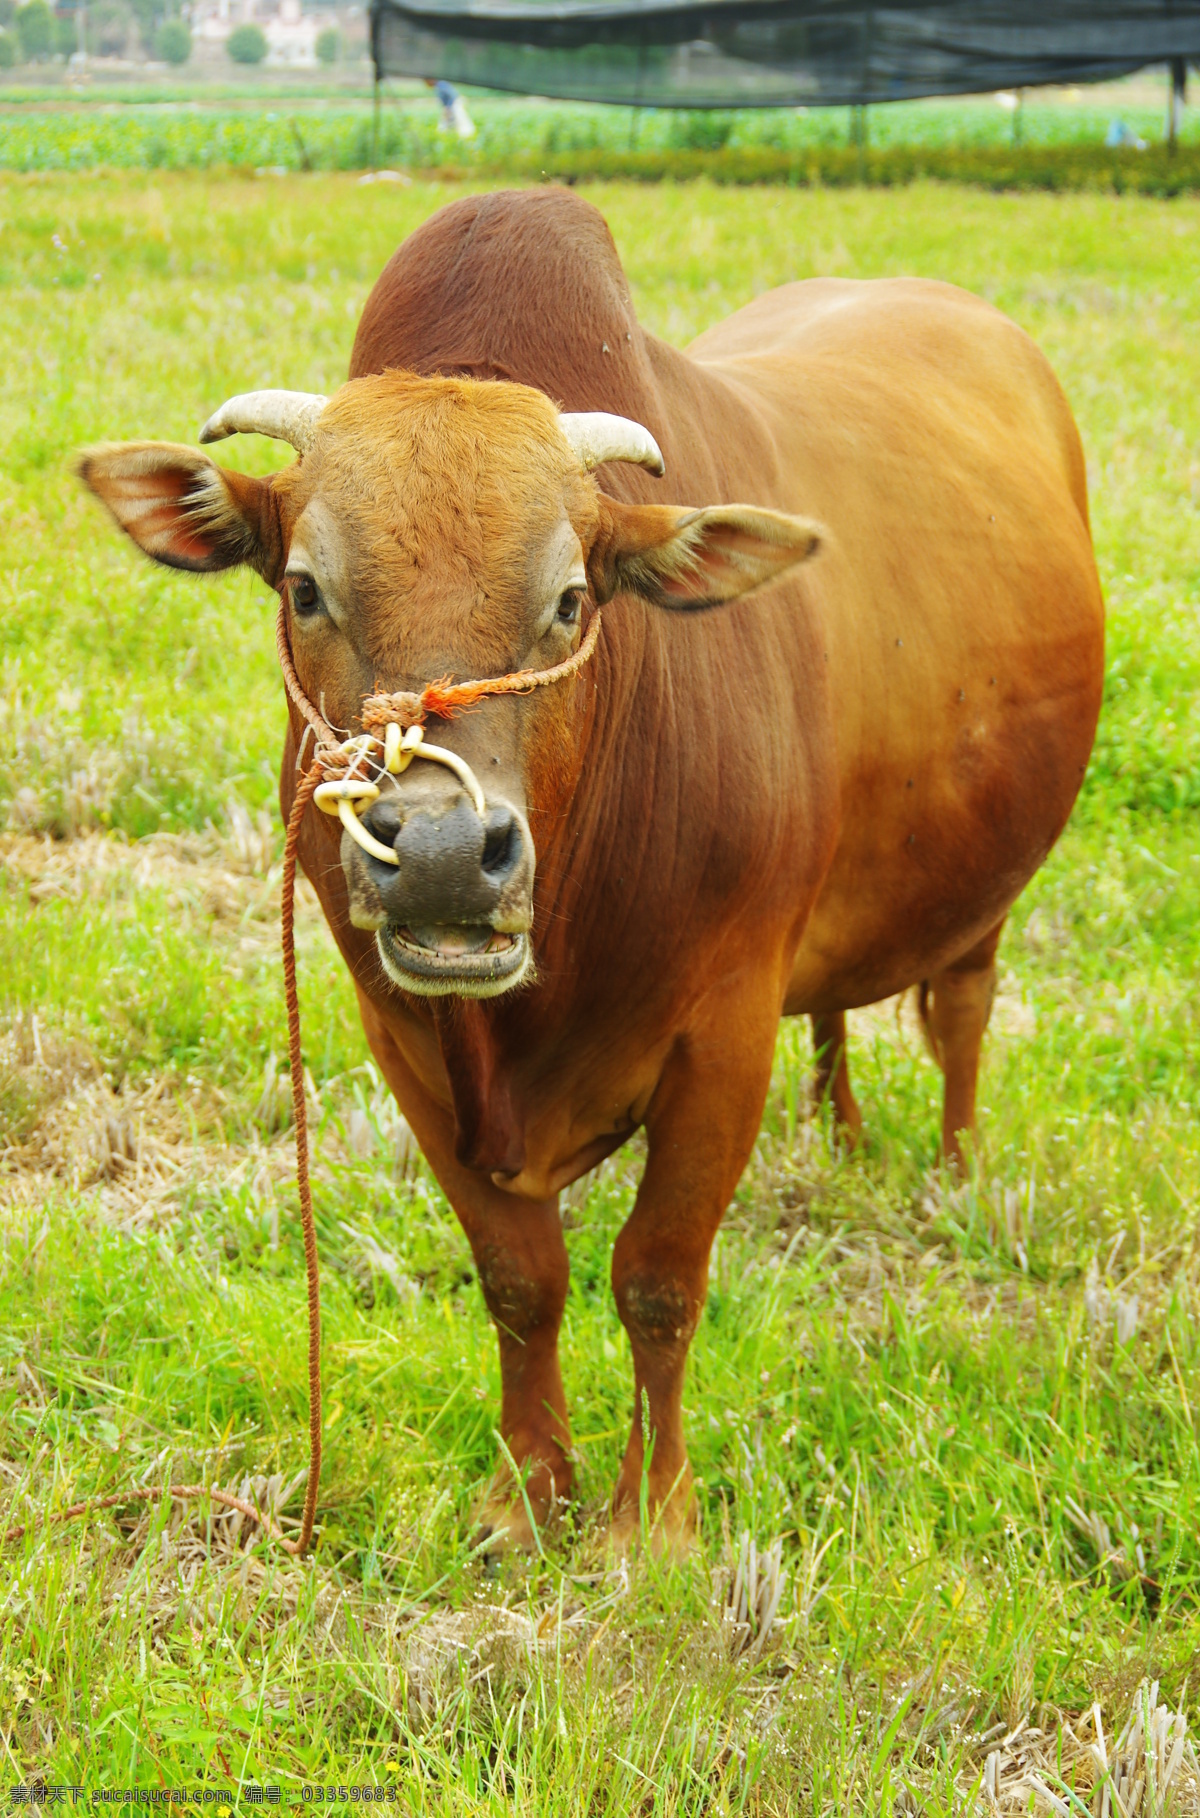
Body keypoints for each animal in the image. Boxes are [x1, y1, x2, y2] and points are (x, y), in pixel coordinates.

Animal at [77, 180, 1105, 1548]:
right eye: (302, 587)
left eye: (571, 598)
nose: (444, 858)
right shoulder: (400, 1034)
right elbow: (522, 1279)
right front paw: (528, 1490)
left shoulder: (723, 1033)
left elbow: (658, 1282)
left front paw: (650, 1518)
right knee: (841, 1012)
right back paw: (838, 1132)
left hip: (986, 892)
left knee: (963, 1015)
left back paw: (952, 1174)